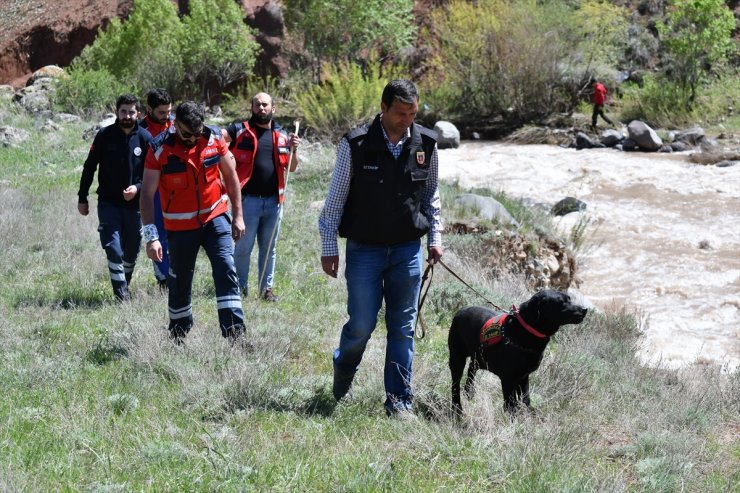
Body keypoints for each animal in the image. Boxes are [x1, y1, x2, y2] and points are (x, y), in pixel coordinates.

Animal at [448, 288, 588, 416]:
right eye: (561, 303)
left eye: (569, 299)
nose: (584, 309)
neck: (526, 330)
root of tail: (460, 311)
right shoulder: (508, 379)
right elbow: (511, 405)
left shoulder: (523, 376)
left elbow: (525, 399)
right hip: (457, 358)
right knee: (455, 384)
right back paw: (457, 410)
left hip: (480, 357)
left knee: (472, 367)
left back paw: (469, 391)